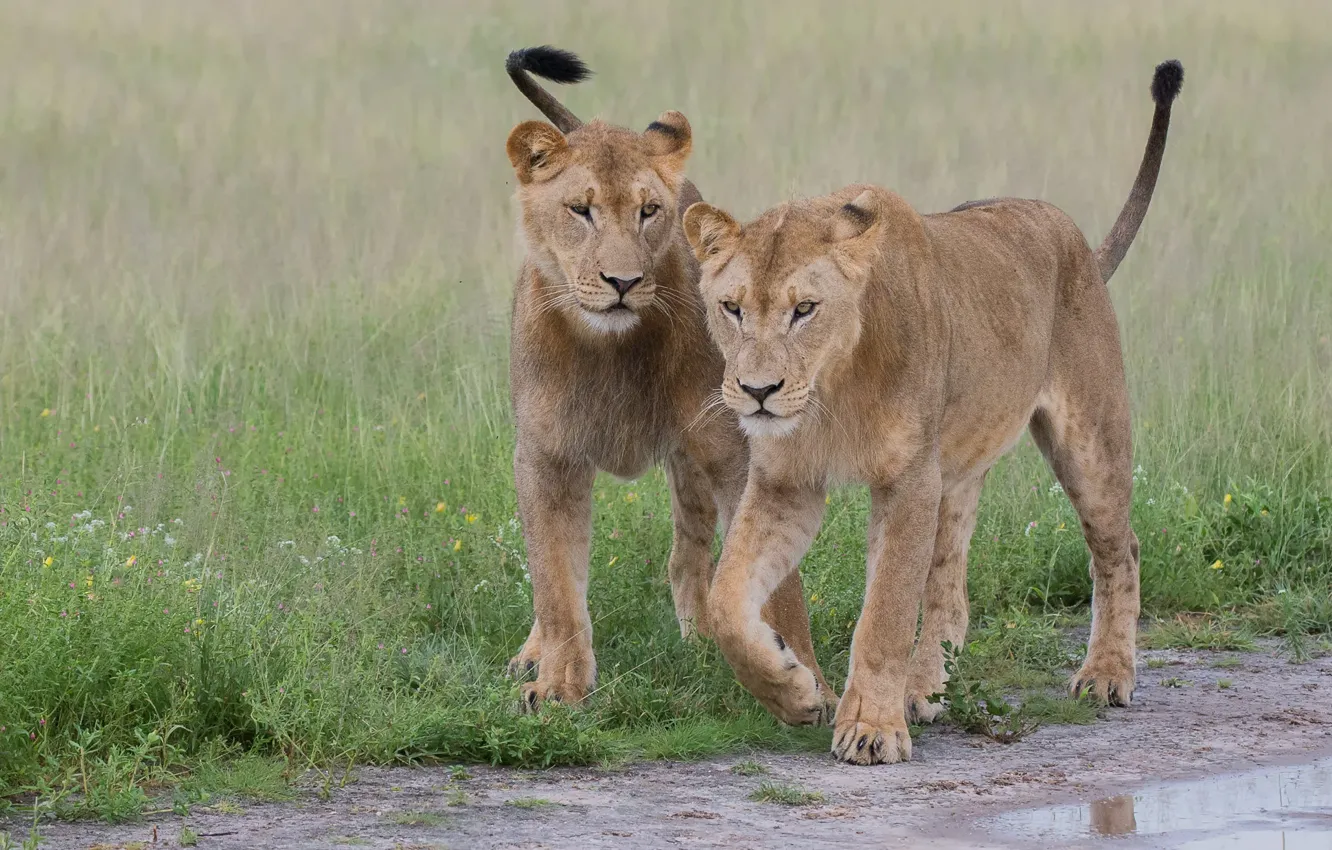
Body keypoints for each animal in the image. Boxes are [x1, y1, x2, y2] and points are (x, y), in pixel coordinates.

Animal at [502, 46, 833, 718]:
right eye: (581, 210)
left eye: (648, 211)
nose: (623, 282)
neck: (613, 349)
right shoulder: (545, 457)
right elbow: (555, 580)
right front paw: (557, 686)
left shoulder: (737, 454)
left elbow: (769, 590)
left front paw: (799, 685)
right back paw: (533, 652)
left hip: (692, 458)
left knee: (688, 557)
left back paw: (702, 637)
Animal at [681, 60, 1184, 763]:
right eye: (731, 308)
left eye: (804, 310)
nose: (757, 391)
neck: (834, 388)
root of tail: (1075, 237)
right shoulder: (786, 483)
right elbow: (728, 598)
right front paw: (795, 690)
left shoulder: (907, 481)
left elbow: (886, 611)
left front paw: (870, 728)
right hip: (956, 475)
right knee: (950, 589)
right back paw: (923, 689)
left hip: (1090, 442)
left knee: (1121, 549)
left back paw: (1106, 674)